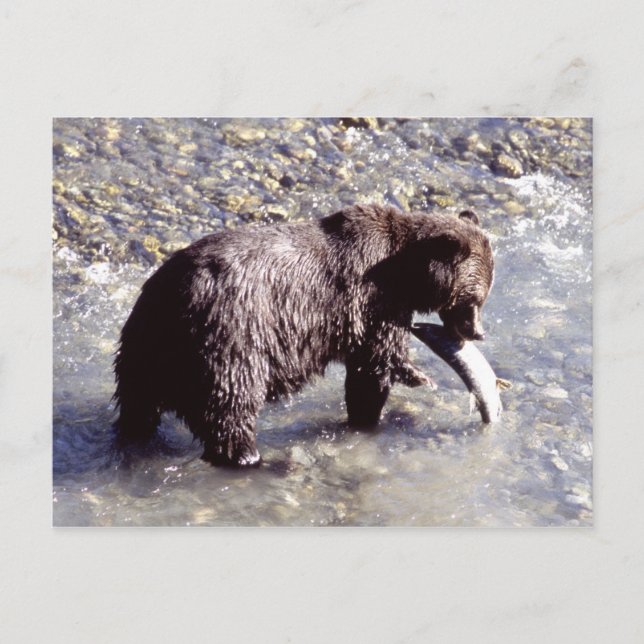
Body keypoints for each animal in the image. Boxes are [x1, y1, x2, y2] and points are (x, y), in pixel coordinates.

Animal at [113, 204, 494, 467]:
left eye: (484, 295)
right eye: (473, 299)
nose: (478, 332)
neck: (406, 273)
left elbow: (363, 376)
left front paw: (363, 417)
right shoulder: (372, 302)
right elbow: (379, 361)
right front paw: (415, 380)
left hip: (145, 343)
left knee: (137, 402)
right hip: (230, 336)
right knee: (231, 407)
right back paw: (252, 458)